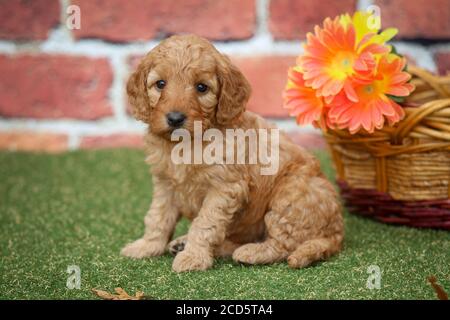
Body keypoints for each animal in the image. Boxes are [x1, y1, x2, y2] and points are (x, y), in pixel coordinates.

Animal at [121, 33, 342, 272]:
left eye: (201, 87)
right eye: (160, 84)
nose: (175, 118)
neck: (187, 143)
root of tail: (337, 231)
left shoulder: (224, 188)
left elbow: (205, 223)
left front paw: (193, 257)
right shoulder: (165, 184)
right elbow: (158, 217)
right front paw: (146, 246)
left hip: (290, 195)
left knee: (283, 244)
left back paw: (251, 252)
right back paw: (184, 243)